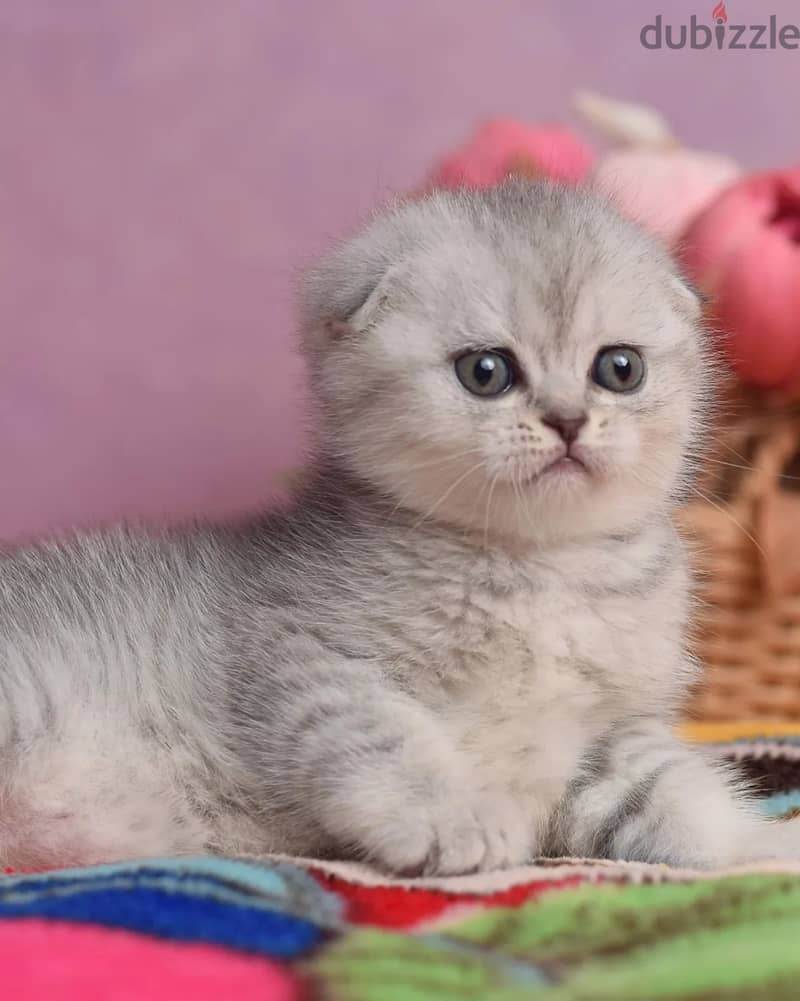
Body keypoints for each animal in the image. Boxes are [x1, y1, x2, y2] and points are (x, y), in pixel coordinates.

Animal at [1, 184, 800, 872]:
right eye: (486, 371)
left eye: (620, 367)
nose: (569, 420)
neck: (539, 568)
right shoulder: (302, 656)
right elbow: (385, 736)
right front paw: (451, 819)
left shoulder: (602, 736)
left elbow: (670, 787)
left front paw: (758, 846)